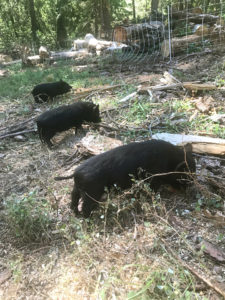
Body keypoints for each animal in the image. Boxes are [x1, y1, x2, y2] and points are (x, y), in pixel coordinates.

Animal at [54, 138, 195, 218]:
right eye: (185, 176)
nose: (191, 188)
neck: (169, 161)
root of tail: (76, 173)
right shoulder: (153, 178)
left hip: (77, 189)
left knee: (73, 200)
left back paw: (77, 215)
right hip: (91, 194)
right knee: (85, 207)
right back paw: (89, 219)